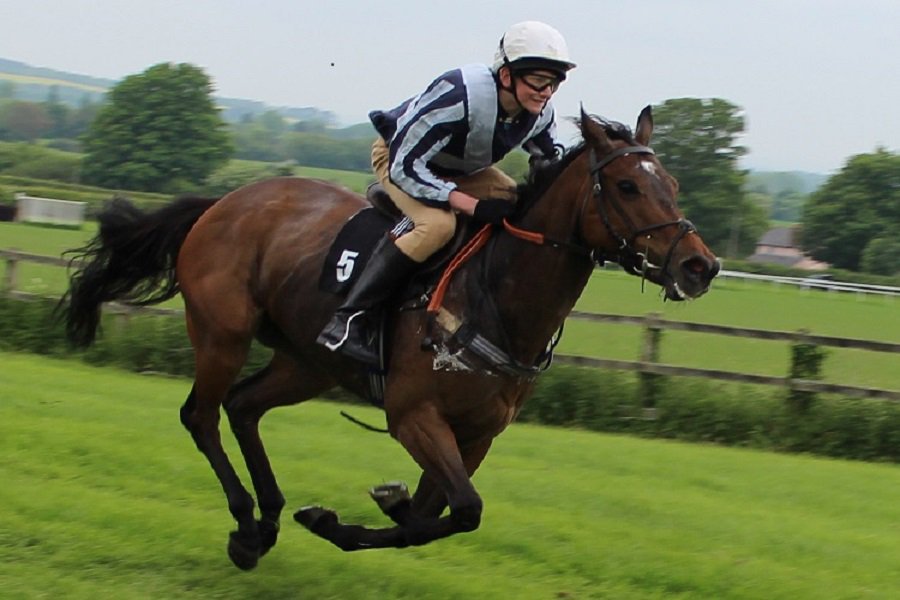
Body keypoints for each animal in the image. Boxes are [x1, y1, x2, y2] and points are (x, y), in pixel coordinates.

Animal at [59, 108, 716, 572]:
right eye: (628, 186)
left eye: (673, 183)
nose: (699, 267)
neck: (495, 296)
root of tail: (222, 202)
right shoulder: (414, 415)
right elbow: (461, 509)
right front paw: (365, 508)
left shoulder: (477, 434)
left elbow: (434, 516)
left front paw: (350, 516)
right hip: (223, 332)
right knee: (201, 415)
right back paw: (246, 526)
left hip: (307, 363)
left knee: (243, 407)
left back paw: (267, 523)